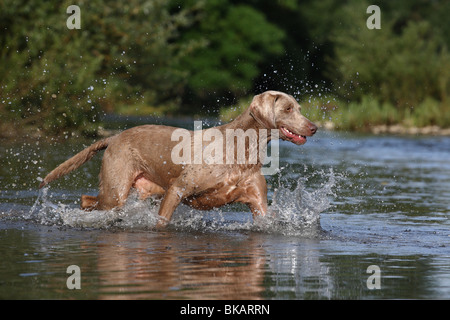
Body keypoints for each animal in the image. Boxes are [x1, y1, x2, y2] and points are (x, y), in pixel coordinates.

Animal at [40, 90, 318, 228]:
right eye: (288, 109)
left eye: (300, 108)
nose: (314, 127)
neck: (242, 148)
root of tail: (114, 137)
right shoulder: (177, 189)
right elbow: (162, 222)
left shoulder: (258, 202)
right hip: (115, 189)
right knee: (89, 200)